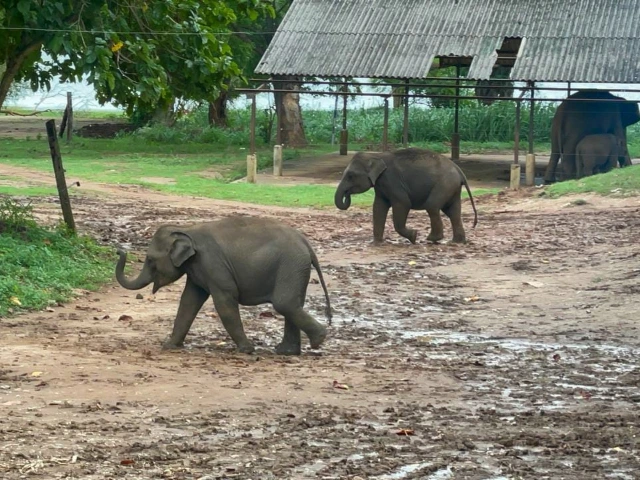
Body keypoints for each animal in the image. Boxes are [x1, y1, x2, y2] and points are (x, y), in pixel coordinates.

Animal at [115, 217, 332, 355]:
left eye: (150, 260)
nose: (119, 250)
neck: (187, 228)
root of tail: (306, 243)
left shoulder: (213, 264)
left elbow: (224, 302)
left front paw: (247, 350)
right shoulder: (197, 269)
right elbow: (188, 301)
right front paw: (169, 346)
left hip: (291, 265)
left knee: (284, 303)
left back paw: (318, 340)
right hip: (295, 269)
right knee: (293, 304)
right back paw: (288, 352)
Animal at [334, 147, 478, 245]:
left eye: (350, 176)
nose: (347, 194)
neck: (375, 156)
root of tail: (459, 170)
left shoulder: (392, 180)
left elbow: (403, 203)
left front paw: (414, 236)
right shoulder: (381, 185)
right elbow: (378, 207)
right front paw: (377, 243)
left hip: (445, 184)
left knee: (432, 206)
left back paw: (432, 239)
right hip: (452, 187)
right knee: (453, 212)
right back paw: (456, 242)